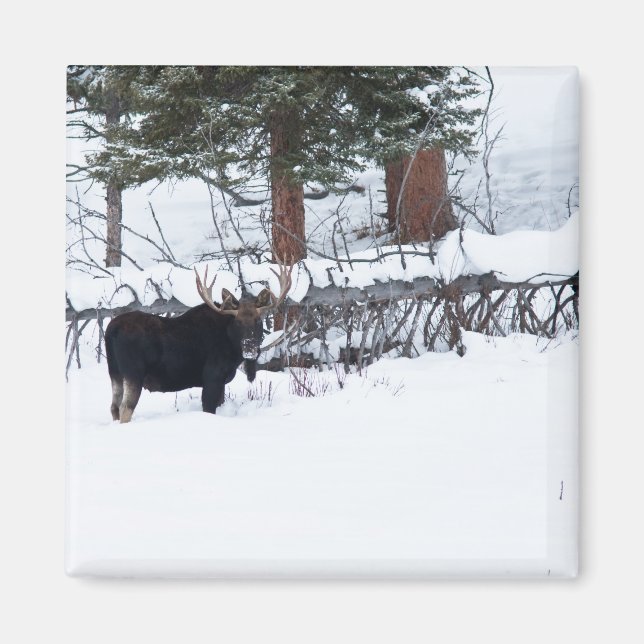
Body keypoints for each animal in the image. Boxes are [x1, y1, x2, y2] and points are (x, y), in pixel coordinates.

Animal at [104, 260, 293, 423]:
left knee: (113, 407)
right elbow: (208, 409)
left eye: (258, 321)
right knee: (125, 408)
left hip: (114, 372)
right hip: (133, 372)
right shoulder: (212, 377)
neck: (232, 348)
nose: (250, 347)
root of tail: (111, 330)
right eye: (238, 322)